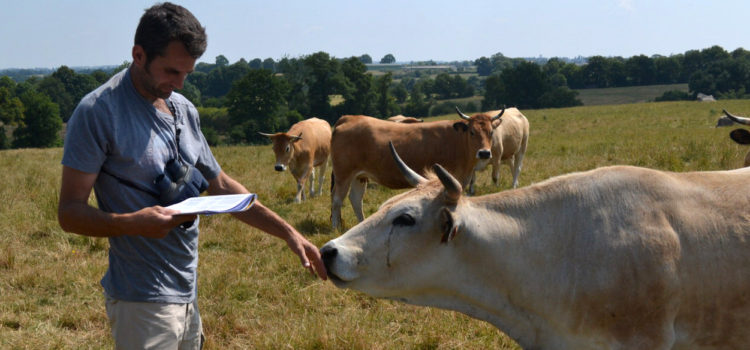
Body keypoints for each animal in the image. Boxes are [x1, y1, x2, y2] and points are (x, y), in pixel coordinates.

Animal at [330, 106, 502, 230]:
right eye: (472, 132)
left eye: (491, 132)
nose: (484, 153)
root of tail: (349, 118)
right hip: (343, 174)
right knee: (337, 200)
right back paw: (335, 228)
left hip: (359, 176)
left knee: (355, 199)